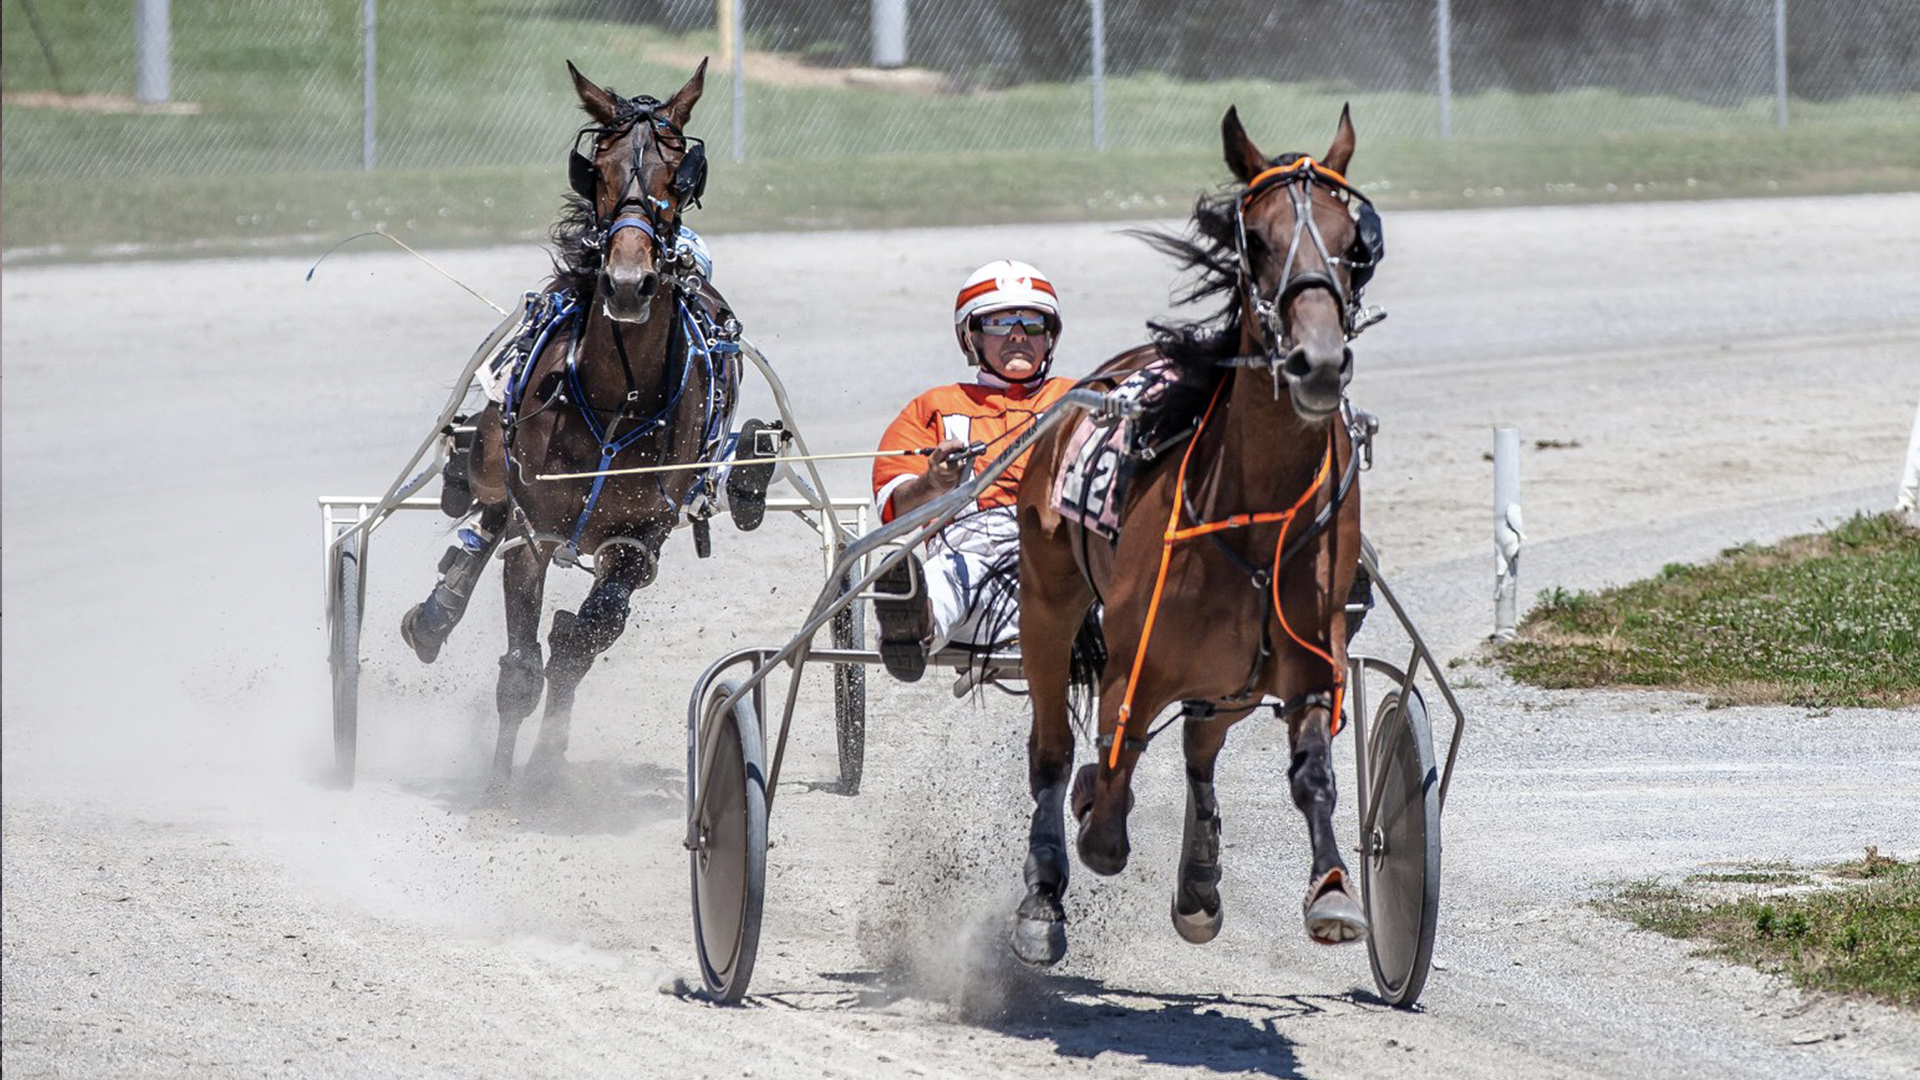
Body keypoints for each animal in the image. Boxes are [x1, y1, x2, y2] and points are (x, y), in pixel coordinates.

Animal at [405, 61, 741, 780]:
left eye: (680, 173)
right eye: (600, 170)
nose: (627, 282)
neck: (619, 398)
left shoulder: (640, 539)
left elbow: (580, 640)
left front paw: (544, 768)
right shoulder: (535, 534)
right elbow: (518, 668)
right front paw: (501, 784)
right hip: (494, 464)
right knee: (483, 520)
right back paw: (435, 614)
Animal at [1006, 107, 1382, 968]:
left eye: (1355, 243)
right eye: (1258, 241)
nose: (1318, 362)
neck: (1257, 513)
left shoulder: (1307, 659)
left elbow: (1313, 773)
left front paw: (1333, 890)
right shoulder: (1133, 666)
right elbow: (1107, 789)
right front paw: (1089, 819)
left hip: (1233, 677)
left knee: (1200, 746)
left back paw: (1200, 880)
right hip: (1048, 605)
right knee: (1054, 748)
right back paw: (1045, 890)